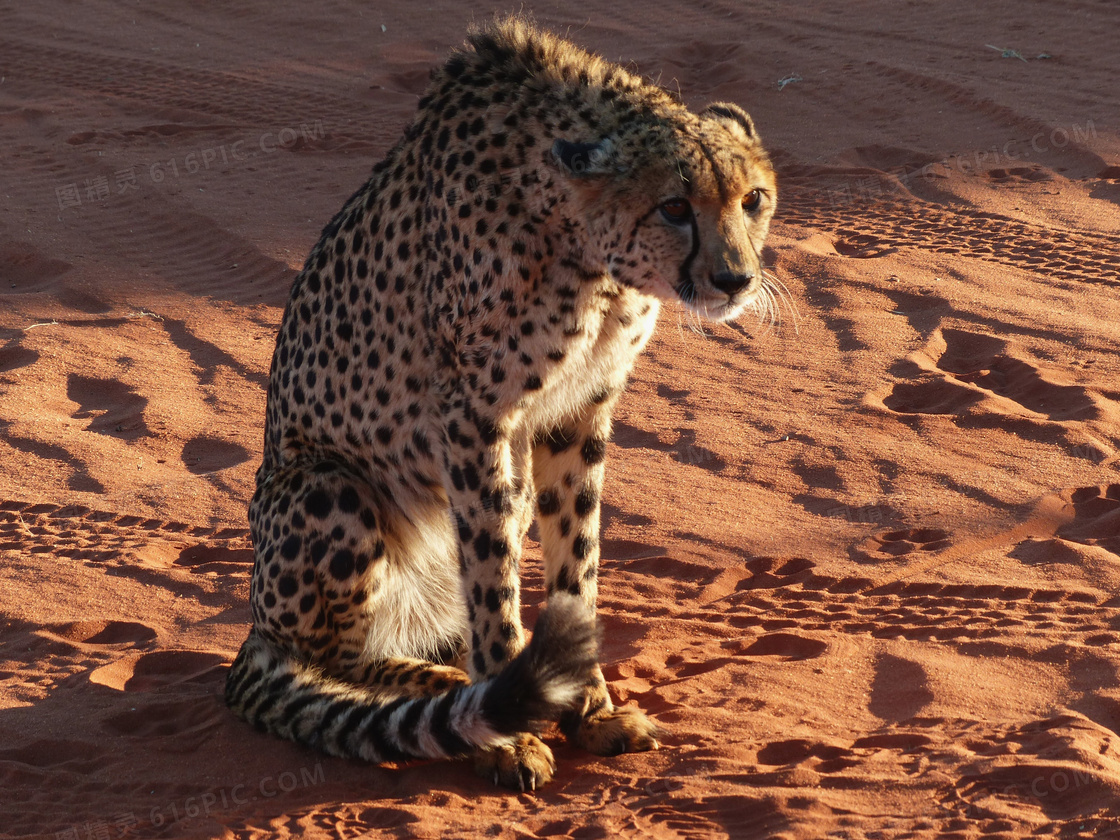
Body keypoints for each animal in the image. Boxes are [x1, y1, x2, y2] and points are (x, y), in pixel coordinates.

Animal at [221, 21, 775, 797]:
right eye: (674, 206)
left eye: (752, 199)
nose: (736, 279)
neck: (584, 244)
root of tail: (255, 625)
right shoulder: (471, 415)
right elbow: (492, 575)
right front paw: (510, 731)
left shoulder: (579, 411)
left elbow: (577, 562)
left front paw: (590, 707)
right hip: (328, 486)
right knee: (330, 659)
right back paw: (447, 685)